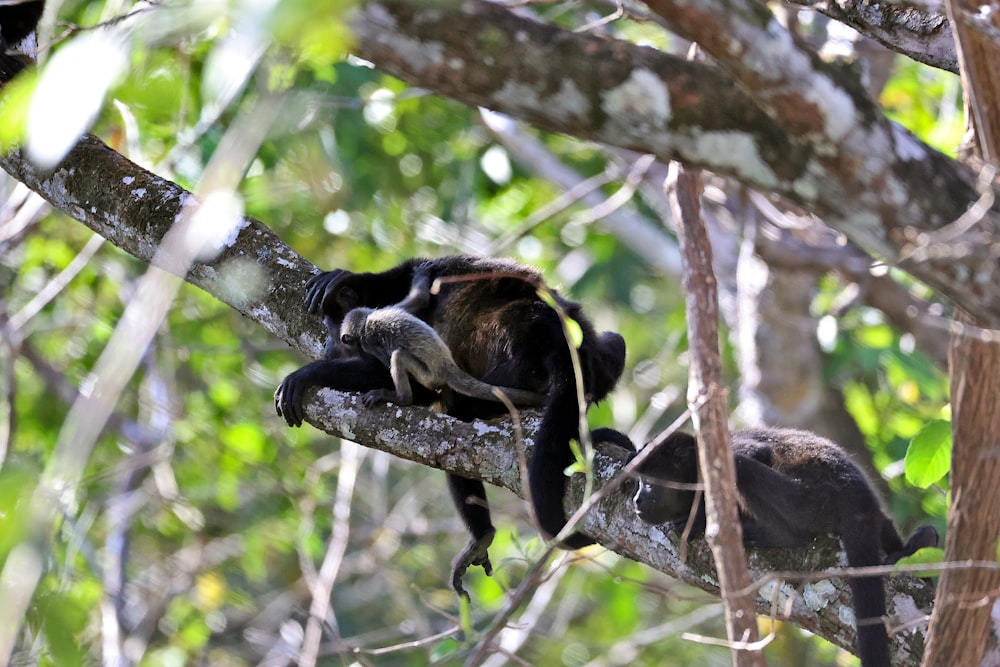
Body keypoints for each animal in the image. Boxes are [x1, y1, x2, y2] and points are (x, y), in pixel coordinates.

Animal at [274, 254, 628, 596]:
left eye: (333, 330)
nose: (328, 346)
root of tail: (554, 332)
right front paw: (341, 278)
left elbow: (414, 385)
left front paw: (306, 374)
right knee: (616, 342)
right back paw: (483, 536)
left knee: (457, 409)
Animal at [628, 428, 940, 667]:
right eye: (640, 483)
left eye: (650, 483)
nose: (637, 500)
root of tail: (855, 496)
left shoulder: (722, 454)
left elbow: (754, 454)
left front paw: (700, 519)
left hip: (810, 500)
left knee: (744, 469)